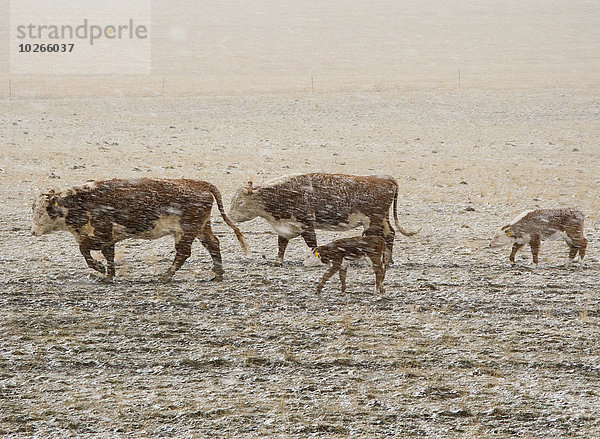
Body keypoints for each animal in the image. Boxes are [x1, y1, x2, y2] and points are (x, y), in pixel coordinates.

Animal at [32, 179, 248, 282]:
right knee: (213, 245)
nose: (33, 231)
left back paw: (166, 275)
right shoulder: (108, 238)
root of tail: (201, 184)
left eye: (45, 209)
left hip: (186, 231)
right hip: (202, 227)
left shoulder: (101, 234)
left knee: (183, 253)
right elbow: (108, 255)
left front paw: (100, 269)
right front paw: (108, 276)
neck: (81, 201)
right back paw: (217, 275)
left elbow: (85, 250)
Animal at [227, 173, 420, 264]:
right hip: (382, 218)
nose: (229, 216)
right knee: (390, 234)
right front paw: (278, 261)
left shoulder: (306, 225)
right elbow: (281, 245)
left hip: (372, 220)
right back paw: (389, 259)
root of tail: (386, 179)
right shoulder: (285, 226)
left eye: (240, 202)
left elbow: (312, 244)